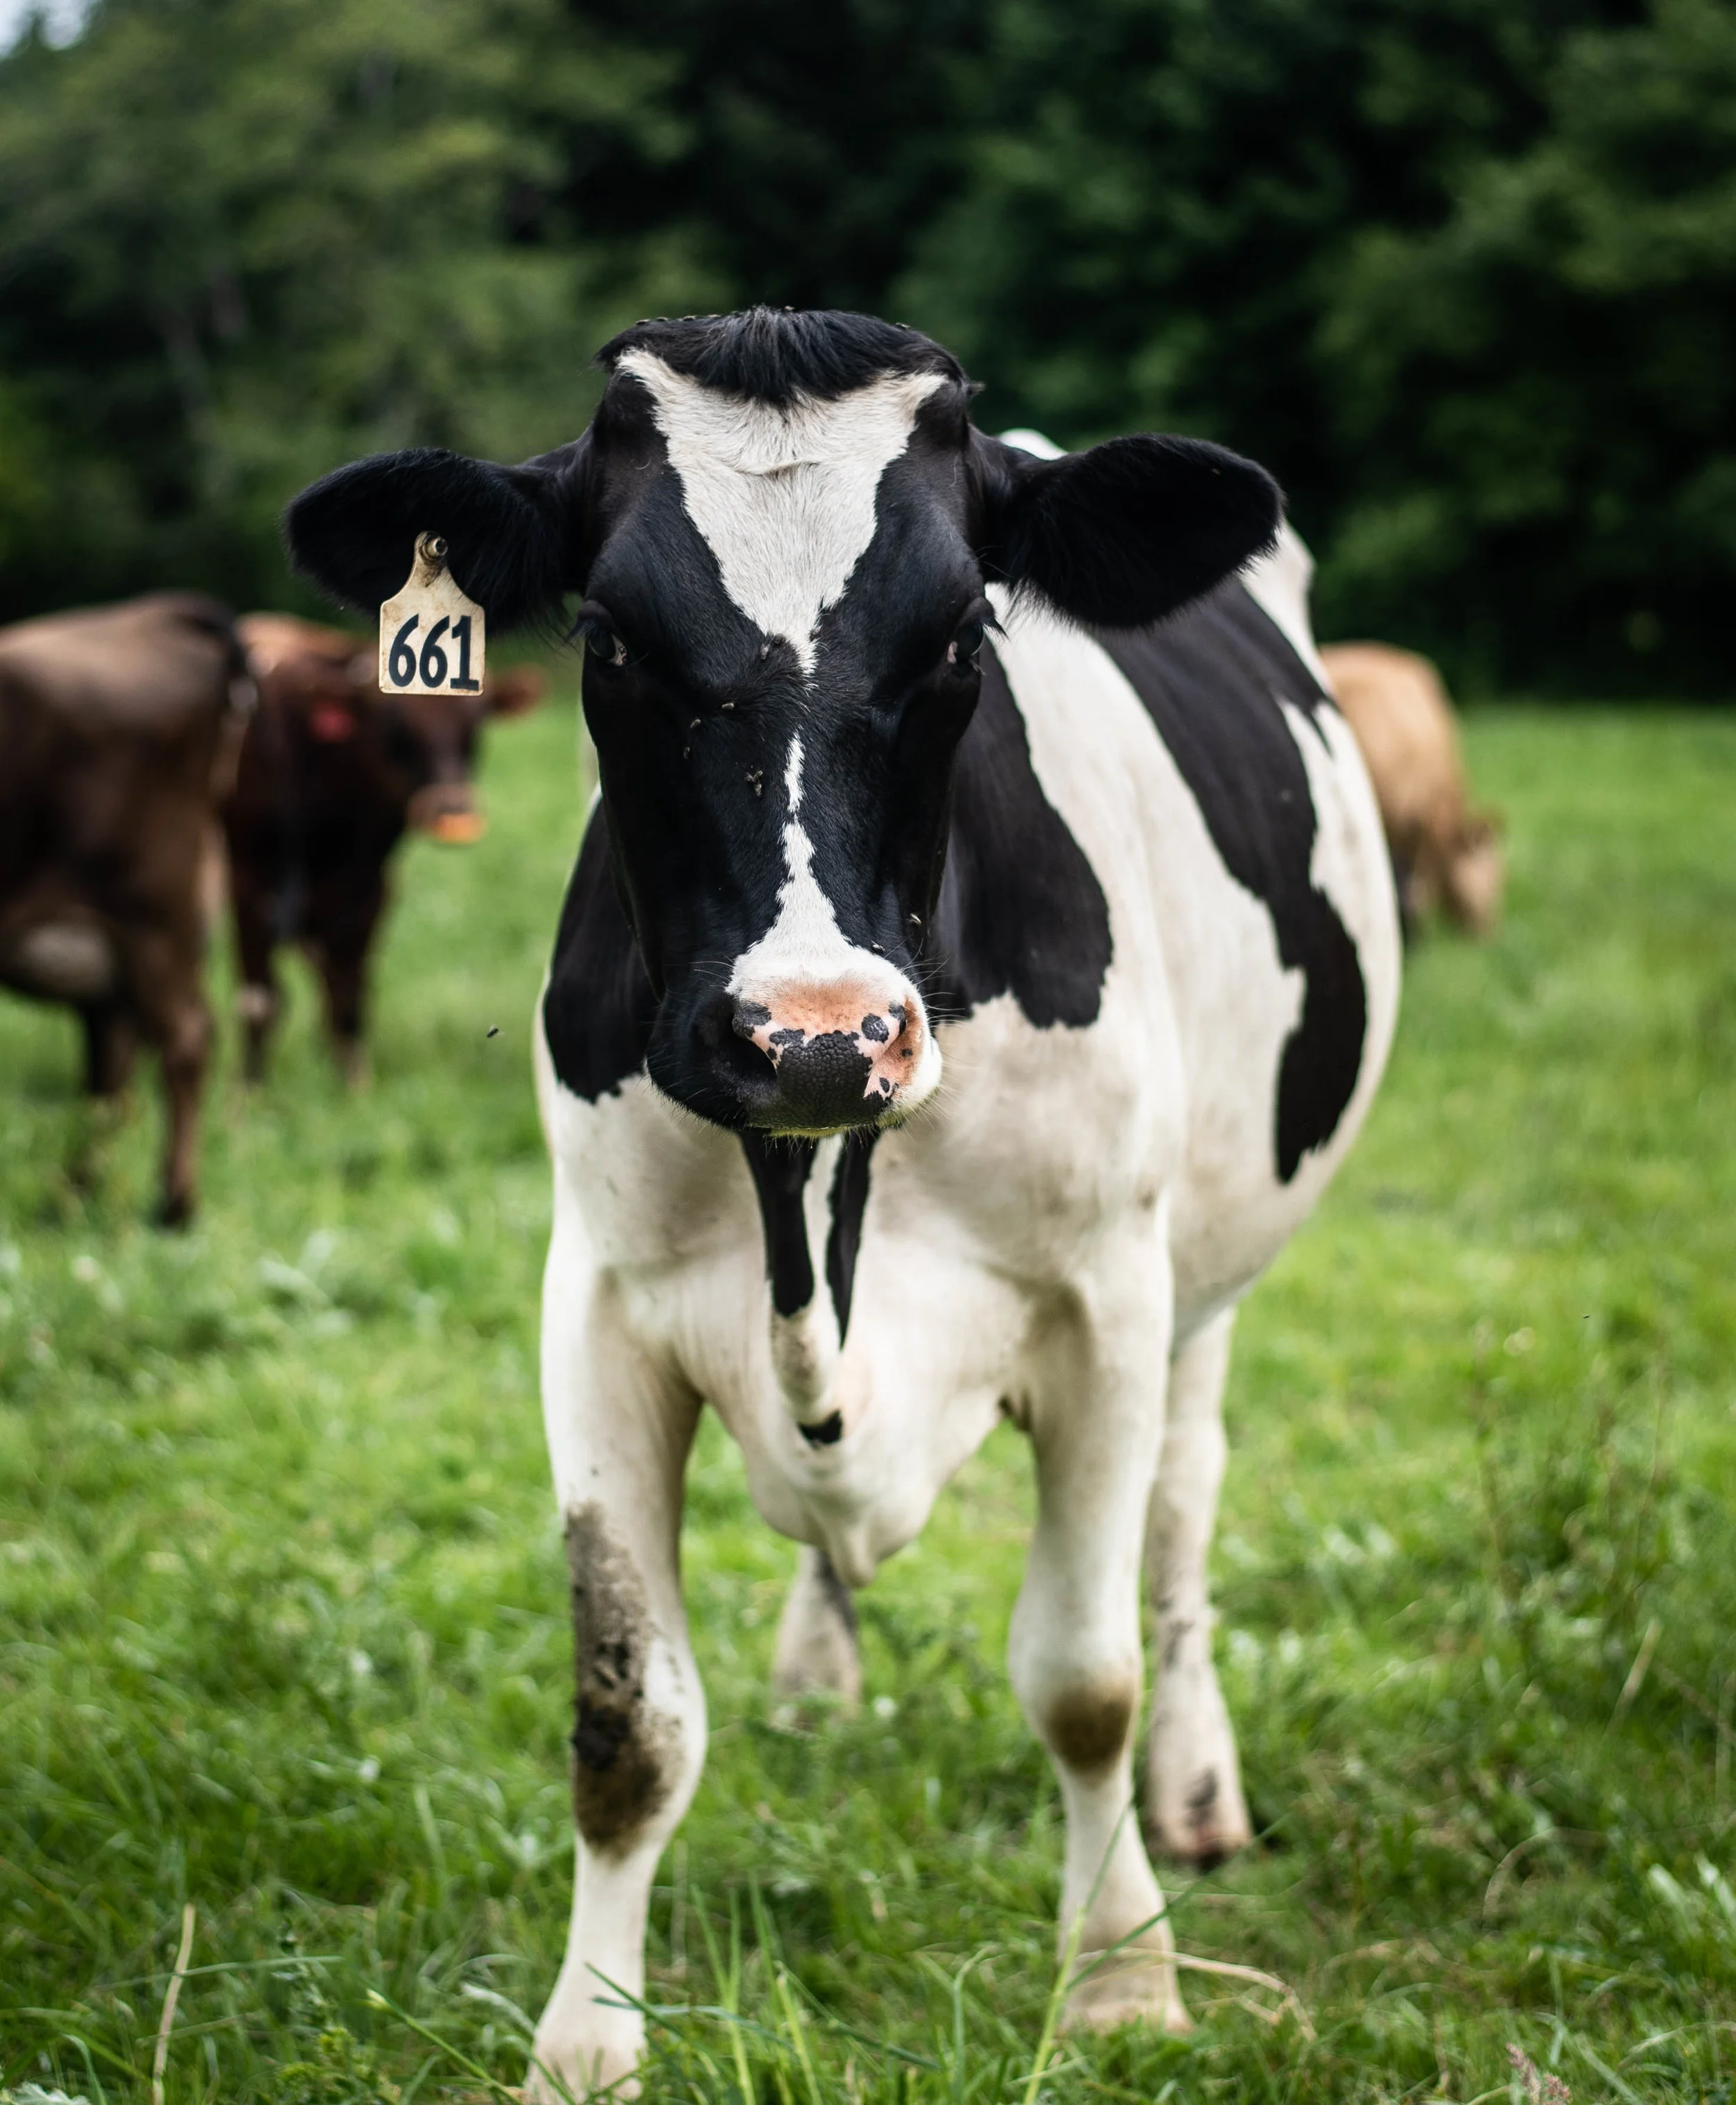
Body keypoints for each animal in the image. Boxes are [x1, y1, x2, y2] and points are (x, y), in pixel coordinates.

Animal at [0, 593, 251, 1226]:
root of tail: (158, 612)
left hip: (151, 918)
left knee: (183, 1041)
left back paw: (173, 1205)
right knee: (112, 1069)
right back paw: (77, 1198)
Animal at [224, 614, 545, 1081]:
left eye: (474, 730)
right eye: (396, 730)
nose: (454, 815)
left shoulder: (368, 885)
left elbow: (349, 990)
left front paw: (353, 1082)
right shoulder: (249, 879)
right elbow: (258, 1000)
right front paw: (248, 1091)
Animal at [285, 307, 1402, 2098]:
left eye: (960, 633)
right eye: (606, 631)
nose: (813, 1030)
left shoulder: (1108, 1299)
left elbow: (1083, 1678)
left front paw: (1121, 1980)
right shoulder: (596, 1304)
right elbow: (628, 1719)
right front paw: (584, 2042)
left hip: (1209, 1282)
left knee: (1179, 1525)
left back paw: (1196, 1790)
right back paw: (819, 1676)